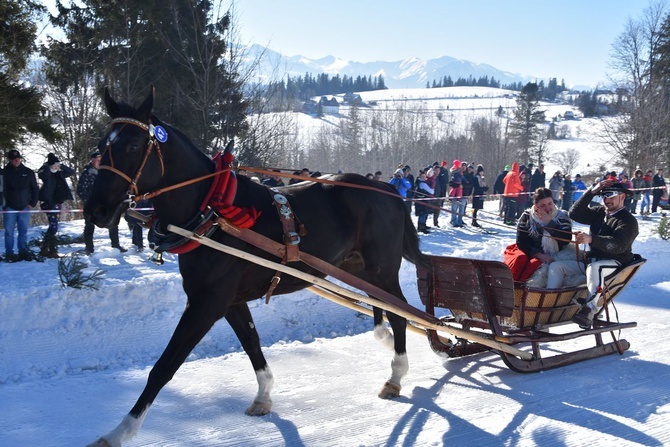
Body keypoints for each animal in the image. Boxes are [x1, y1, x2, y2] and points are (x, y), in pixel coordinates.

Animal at [86, 89, 428, 446]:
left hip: (382, 269)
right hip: (358, 268)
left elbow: (165, 366)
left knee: (399, 313)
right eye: (101, 146)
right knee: (383, 307)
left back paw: (396, 375)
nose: (96, 208)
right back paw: (384, 340)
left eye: (132, 146)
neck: (211, 211)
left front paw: (120, 431)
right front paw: (264, 395)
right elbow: (251, 342)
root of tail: (388, 190)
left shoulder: (206, 304)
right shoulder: (229, 301)